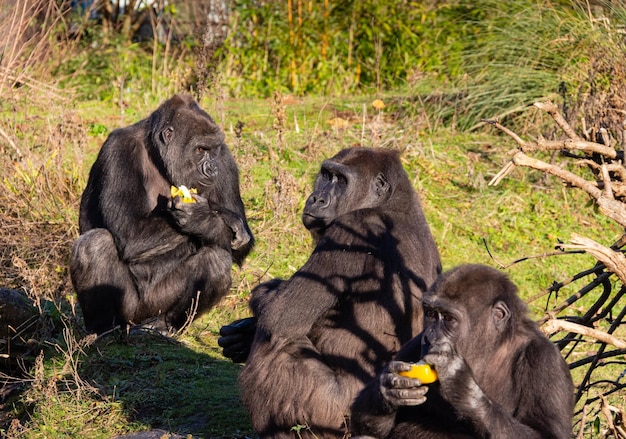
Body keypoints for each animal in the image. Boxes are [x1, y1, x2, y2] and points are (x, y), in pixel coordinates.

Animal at [70, 94, 251, 336]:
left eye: (212, 150)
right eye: (200, 149)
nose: (212, 168)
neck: (158, 156)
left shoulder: (225, 159)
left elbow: (241, 245)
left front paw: (206, 220)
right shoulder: (118, 149)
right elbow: (130, 233)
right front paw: (212, 217)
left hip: (154, 308)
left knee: (216, 260)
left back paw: (165, 324)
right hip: (131, 312)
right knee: (94, 245)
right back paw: (104, 330)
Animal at [232, 149, 442, 439]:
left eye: (341, 180)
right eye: (326, 174)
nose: (317, 198)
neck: (393, 200)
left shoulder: (352, 228)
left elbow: (279, 316)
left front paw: (263, 297)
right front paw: (240, 333)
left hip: (336, 419)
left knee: (280, 342)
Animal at [348, 264, 572, 439]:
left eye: (448, 318)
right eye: (430, 314)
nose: (430, 335)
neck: (489, 347)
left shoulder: (545, 359)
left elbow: (546, 434)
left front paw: (462, 384)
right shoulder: (415, 343)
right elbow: (362, 421)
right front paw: (389, 388)